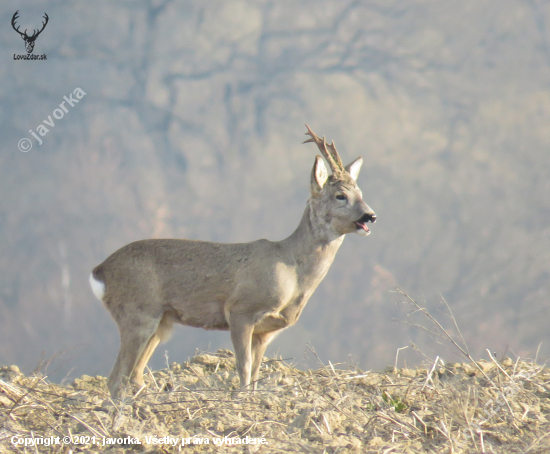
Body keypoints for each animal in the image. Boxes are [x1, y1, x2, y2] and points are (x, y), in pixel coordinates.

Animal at [89, 125, 380, 398]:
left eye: (361, 193)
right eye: (340, 196)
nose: (370, 216)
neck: (293, 272)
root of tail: (99, 271)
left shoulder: (266, 331)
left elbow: (256, 372)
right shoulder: (241, 311)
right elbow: (244, 368)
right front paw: (240, 398)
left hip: (161, 321)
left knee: (133, 376)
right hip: (138, 313)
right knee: (116, 379)